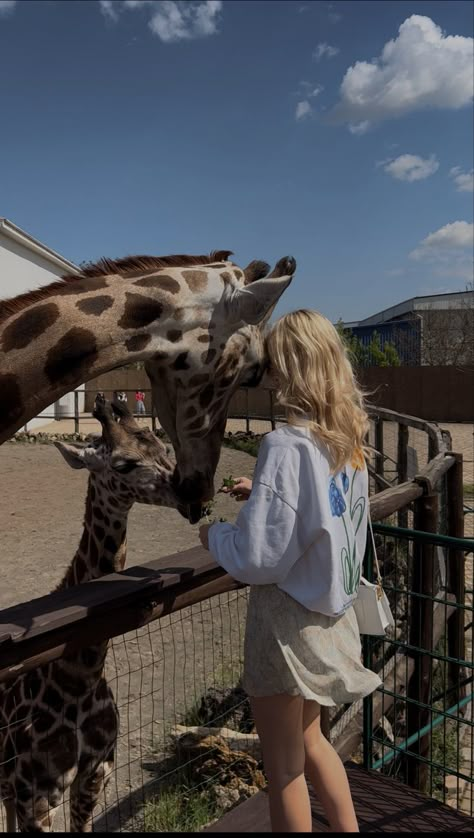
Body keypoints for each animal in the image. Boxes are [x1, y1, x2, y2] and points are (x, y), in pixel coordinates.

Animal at [1, 400, 180, 832]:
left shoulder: (96, 774)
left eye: (163, 446)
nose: (191, 494)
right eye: (123, 464)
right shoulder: (38, 794)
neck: (79, 678)